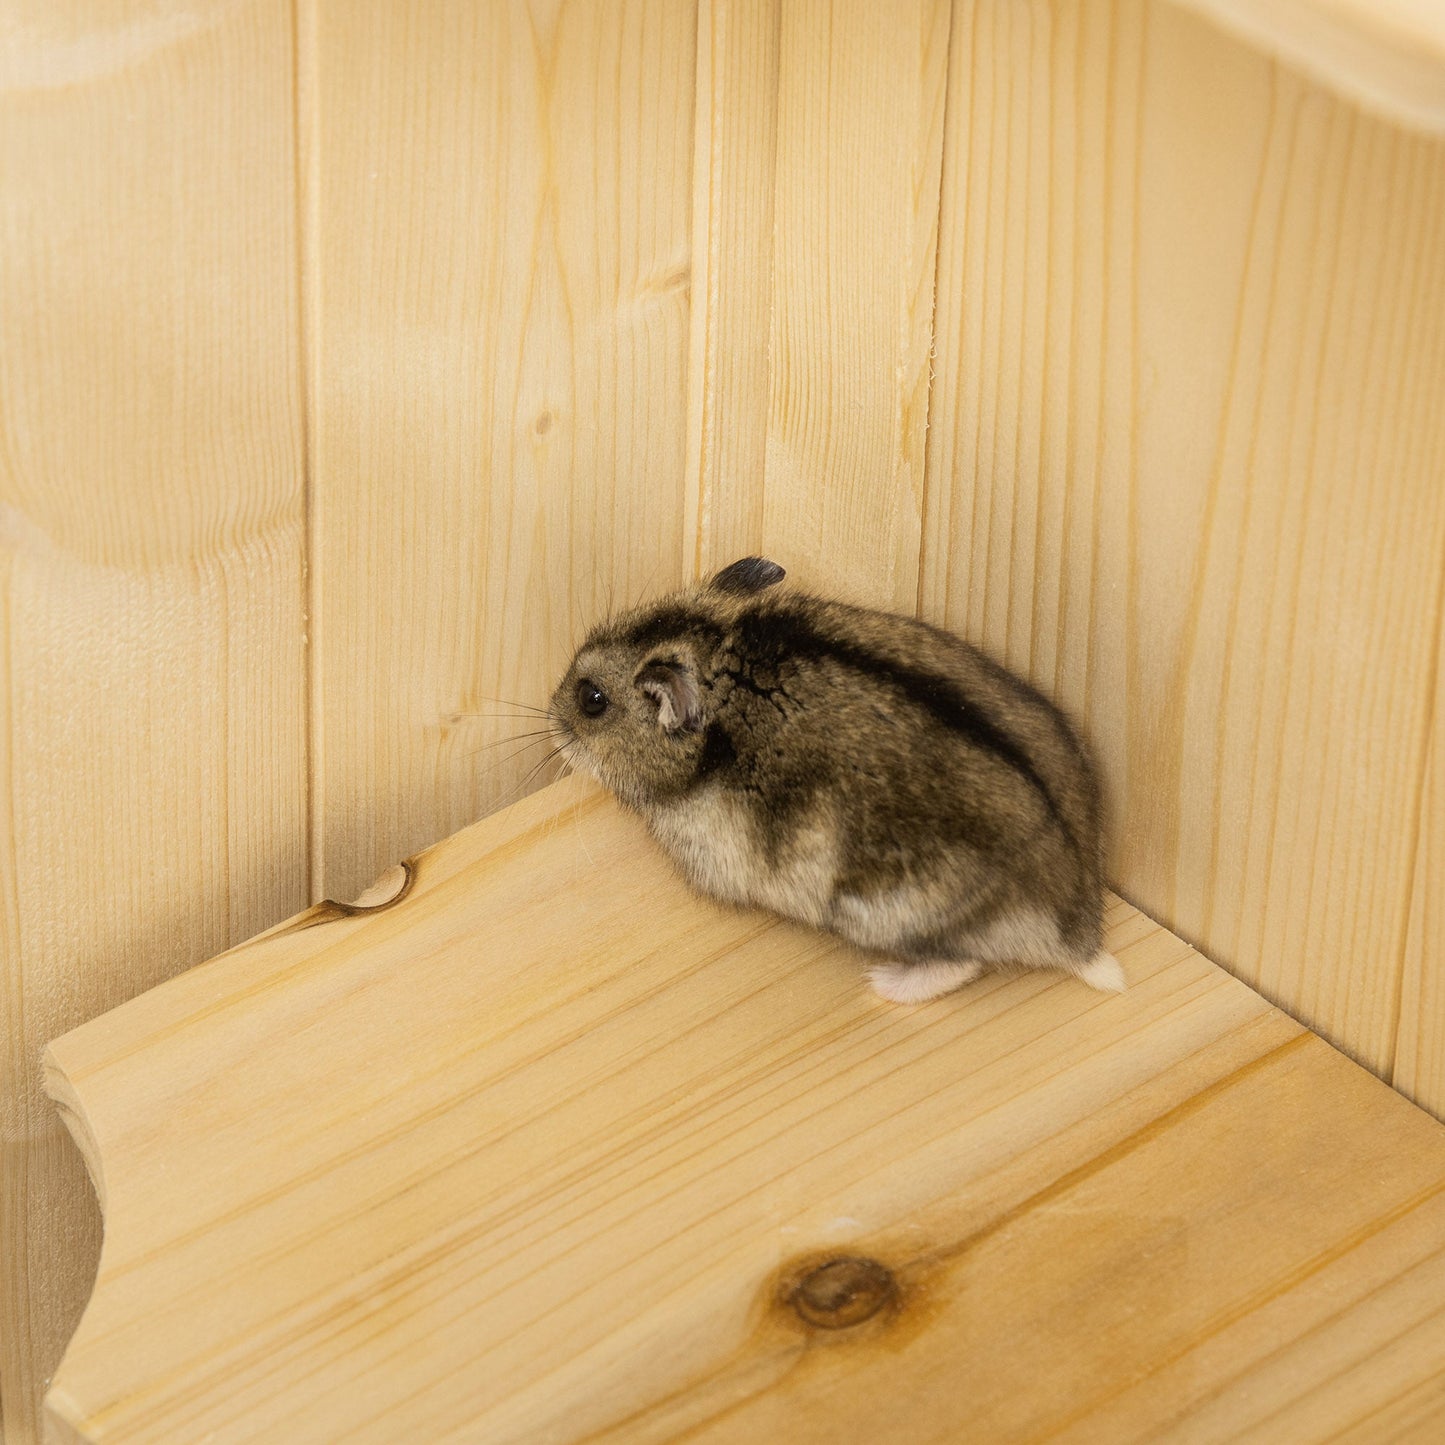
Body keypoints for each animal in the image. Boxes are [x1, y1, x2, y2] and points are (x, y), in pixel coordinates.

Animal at [547, 557, 1123, 1003]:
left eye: (591, 700)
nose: (549, 718)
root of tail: (1080, 934)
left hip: (885, 912)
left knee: (960, 963)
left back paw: (883, 983)